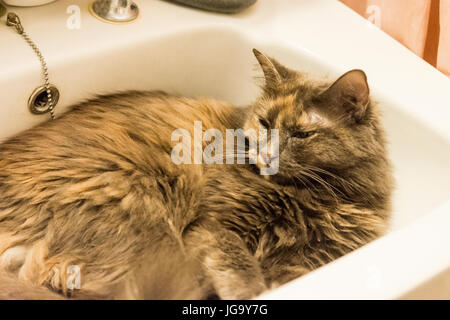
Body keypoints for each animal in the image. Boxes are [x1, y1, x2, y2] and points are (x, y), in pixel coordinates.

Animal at [0, 48, 394, 298]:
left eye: (300, 134)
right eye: (265, 123)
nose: (266, 154)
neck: (316, 197)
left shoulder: (309, 263)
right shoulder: (213, 227)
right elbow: (238, 267)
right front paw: (252, 290)